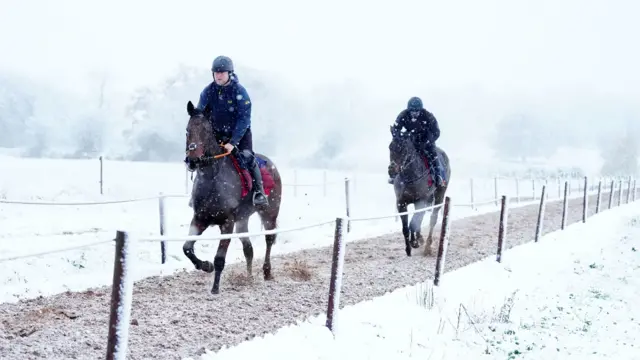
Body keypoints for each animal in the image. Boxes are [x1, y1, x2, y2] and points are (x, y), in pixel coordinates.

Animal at [182, 100, 282, 294]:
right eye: (187, 130)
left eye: (206, 130)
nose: (193, 160)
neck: (212, 179)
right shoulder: (199, 219)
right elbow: (187, 248)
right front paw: (205, 266)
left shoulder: (227, 222)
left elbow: (219, 259)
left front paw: (215, 288)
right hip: (242, 220)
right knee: (248, 248)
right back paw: (249, 277)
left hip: (269, 213)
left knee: (269, 239)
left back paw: (267, 272)